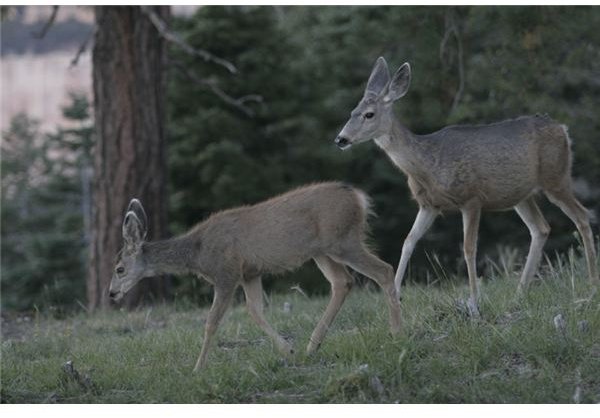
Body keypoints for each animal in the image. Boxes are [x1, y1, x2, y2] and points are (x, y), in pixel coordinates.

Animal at [110, 183, 400, 372]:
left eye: (119, 269)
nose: (111, 293)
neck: (197, 252)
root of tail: (359, 197)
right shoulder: (250, 273)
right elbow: (254, 310)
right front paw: (287, 350)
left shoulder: (226, 273)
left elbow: (211, 322)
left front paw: (197, 368)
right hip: (323, 250)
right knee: (343, 282)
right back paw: (312, 346)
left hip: (343, 241)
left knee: (384, 270)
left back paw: (397, 332)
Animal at [336, 56, 596, 316]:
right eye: (352, 111)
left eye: (369, 114)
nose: (341, 139)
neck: (427, 165)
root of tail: (563, 128)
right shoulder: (429, 205)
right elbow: (408, 241)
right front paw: (395, 297)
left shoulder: (471, 198)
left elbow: (469, 249)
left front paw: (473, 303)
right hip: (521, 195)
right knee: (541, 228)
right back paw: (518, 296)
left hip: (556, 177)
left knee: (582, 216)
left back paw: (592, 283)